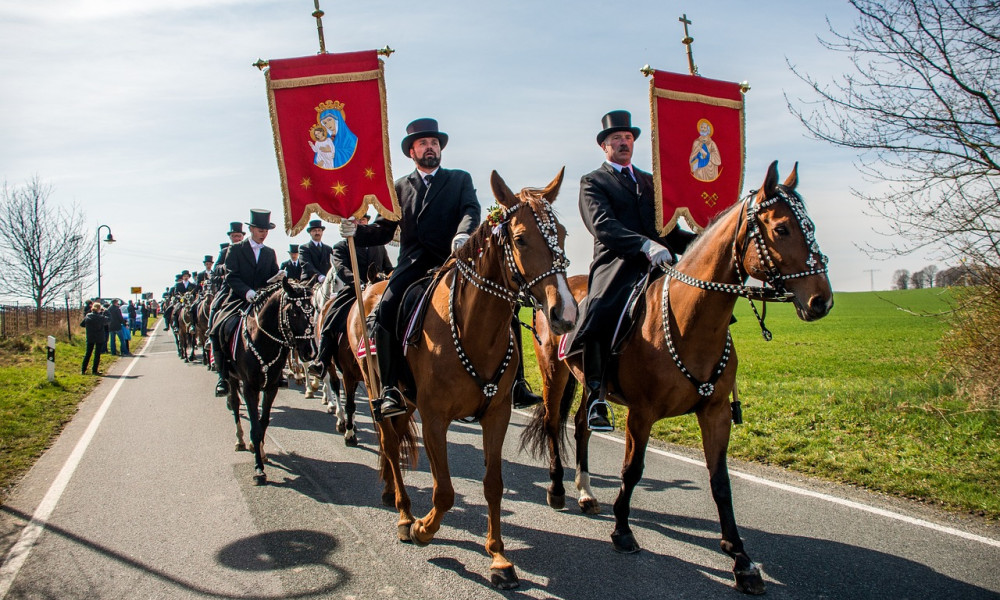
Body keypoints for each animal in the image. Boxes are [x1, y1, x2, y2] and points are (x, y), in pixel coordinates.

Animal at [223, 276, 316, 482]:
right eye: (294, 312)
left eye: (313, 309)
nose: (310, 351)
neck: (264, 341)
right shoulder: (249, 387)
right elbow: (255, 426)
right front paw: (258, 469)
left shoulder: (271, 386)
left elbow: (263, 421)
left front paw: (260, 451)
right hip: (232, 378)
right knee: (234, 403)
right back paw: (240, 439)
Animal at [348, 169, 576, 592]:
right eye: (521, 238)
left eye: (563, 233)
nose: (566, 314)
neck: (470, 329)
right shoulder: (435, 419)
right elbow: (445, 491)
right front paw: (423, 530)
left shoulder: (497, 415)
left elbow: (493, 485)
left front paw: (499, 558)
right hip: (378, 393)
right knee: (390, 444)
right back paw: (404, 515)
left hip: (406, 402)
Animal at [524, 161, 836, 596]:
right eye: (782, 229)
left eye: (810, 225)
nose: (821, 301)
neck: (690, 321)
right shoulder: (642, 414)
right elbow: (632, 470)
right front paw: (623, 531)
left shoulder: (716, 413)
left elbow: (720, 482)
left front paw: (741, 558)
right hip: (554, 375)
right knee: (555, 426)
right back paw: (556, 492)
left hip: (589, 385)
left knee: (583, 426)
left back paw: (586, 493)